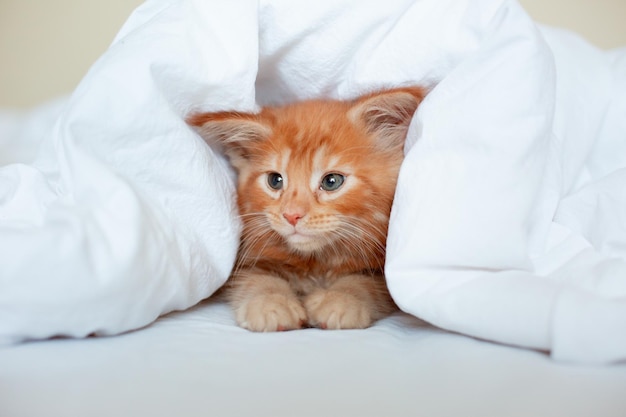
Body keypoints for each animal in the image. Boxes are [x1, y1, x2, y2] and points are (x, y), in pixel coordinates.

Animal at [188, 87, 424, 332]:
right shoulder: (247, 260)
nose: (291, 215)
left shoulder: (380, 268)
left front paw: (341, 299)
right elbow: (255, 277)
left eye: (331, 181)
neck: (315, 261)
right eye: (275, 181)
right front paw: (270, 302)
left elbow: (367, 282)